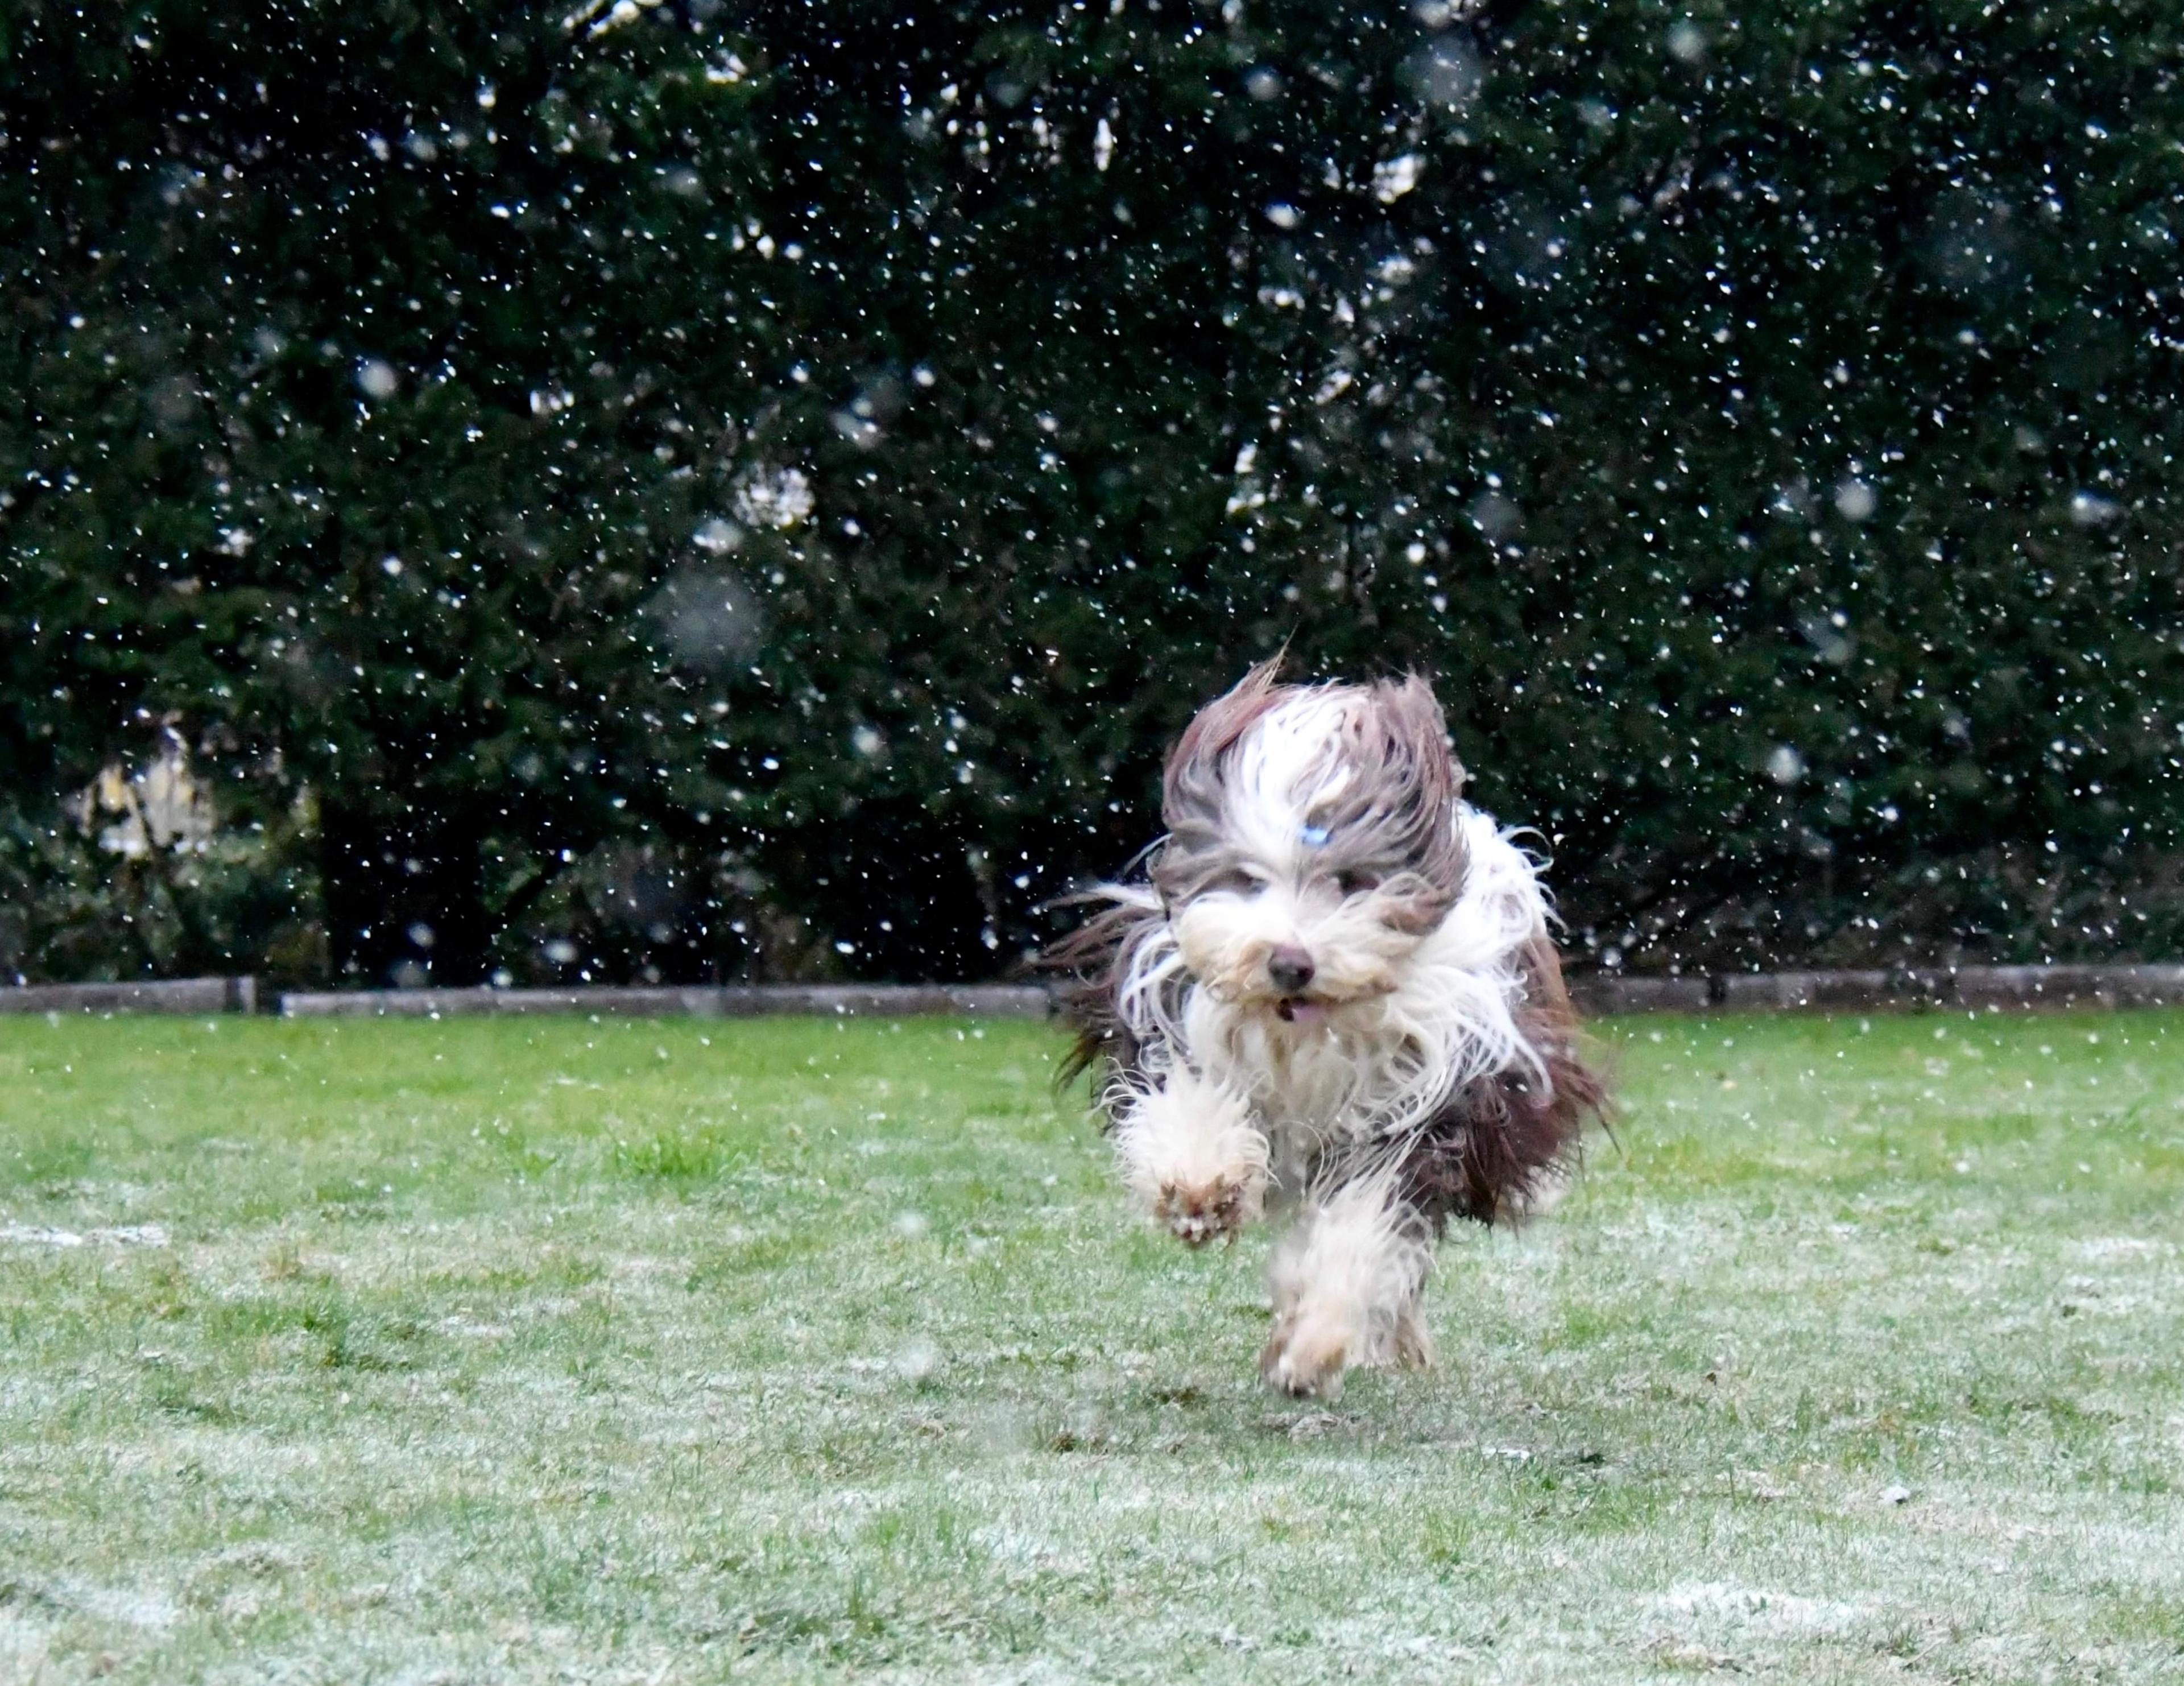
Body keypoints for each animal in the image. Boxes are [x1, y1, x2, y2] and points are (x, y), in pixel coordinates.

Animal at [1039, 664, 1607, 1406]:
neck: (1314, 1031)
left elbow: (1366, 1226)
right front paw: (1200, 1187)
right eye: (1247, 879)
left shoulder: (1424, 1106)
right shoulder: (1171, 1006)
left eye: (1351, 880)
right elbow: (1189, 1095)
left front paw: (1314, 1347)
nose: (1289, 963)